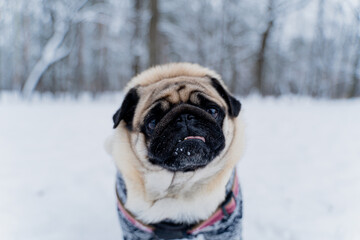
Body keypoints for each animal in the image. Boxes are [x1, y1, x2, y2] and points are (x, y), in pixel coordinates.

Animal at [104, 62, 245, 239]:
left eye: (212, 111)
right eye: (153, 122)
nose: (184, 117)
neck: (181, 183)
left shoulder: (226, 227)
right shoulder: (135, 231)